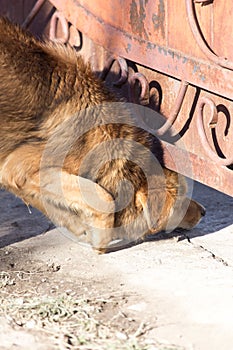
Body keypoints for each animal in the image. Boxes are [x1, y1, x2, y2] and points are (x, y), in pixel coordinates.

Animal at [0, 17, 204, 252]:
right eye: (182, 202)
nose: (204, 212)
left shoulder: (21, 177)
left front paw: (80, 227)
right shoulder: (19, 168)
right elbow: (106, 200)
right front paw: (100, 241)